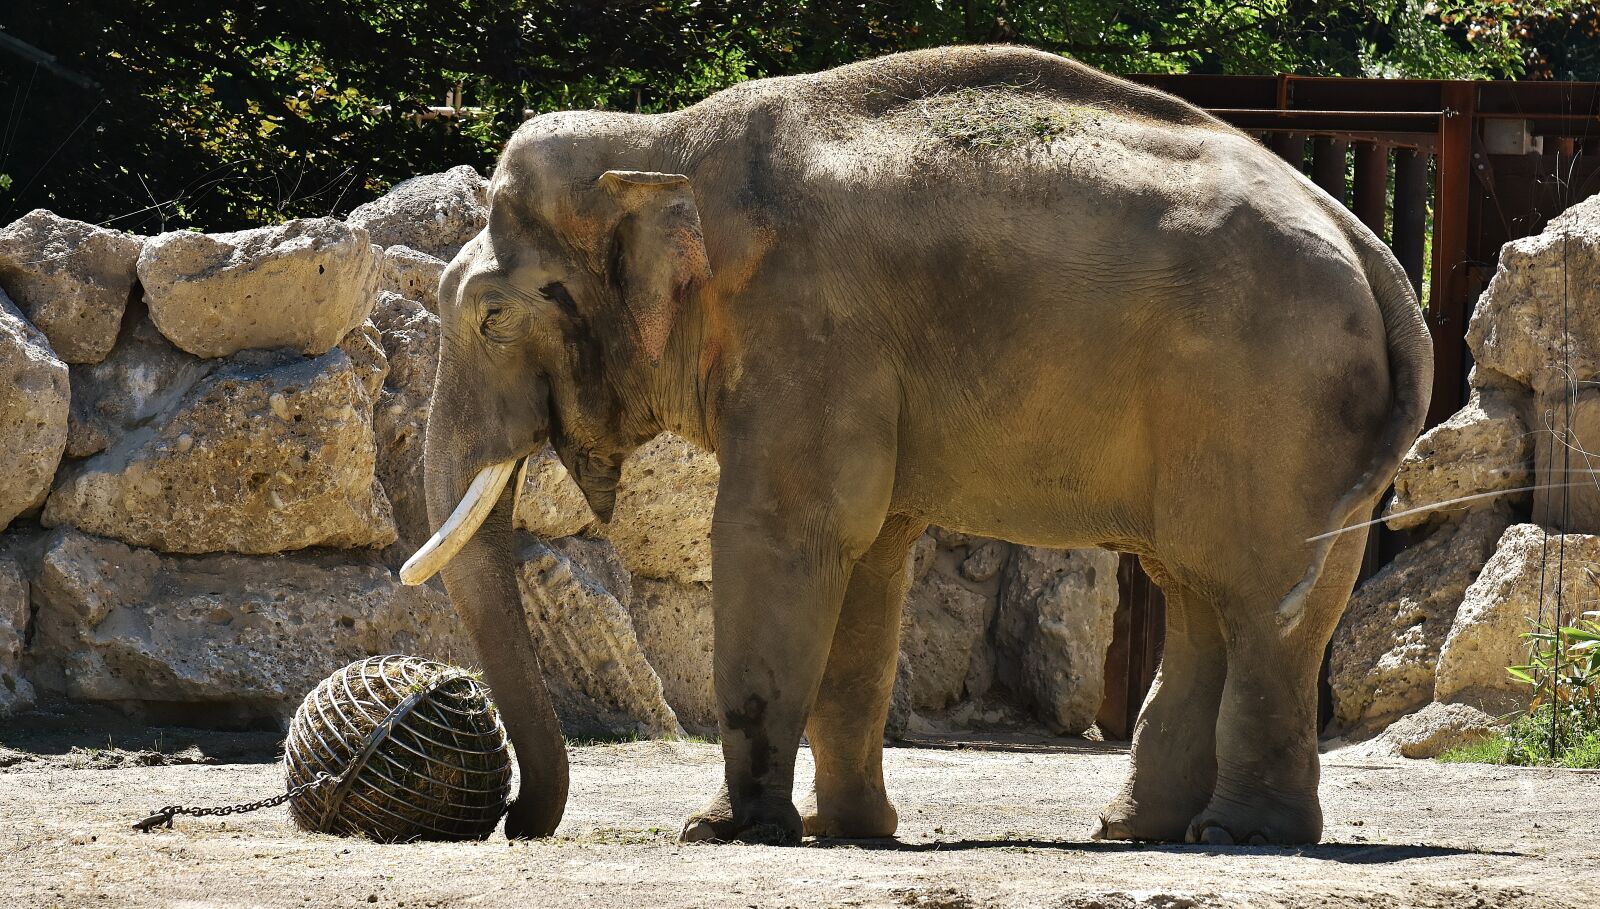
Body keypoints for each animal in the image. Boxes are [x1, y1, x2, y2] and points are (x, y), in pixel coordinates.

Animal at [401, 44, 1432, 846]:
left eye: (492, 319)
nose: (513, 821)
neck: (662, 143)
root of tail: (1369, 246)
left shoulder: (812, 329)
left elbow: (783, 534)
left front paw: (723, 829)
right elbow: (869, 562)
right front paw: (845, 831)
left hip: (1278, 398)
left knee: (1260, 597)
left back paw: (1235, 834)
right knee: (1203, 591)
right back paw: (1139, 829)